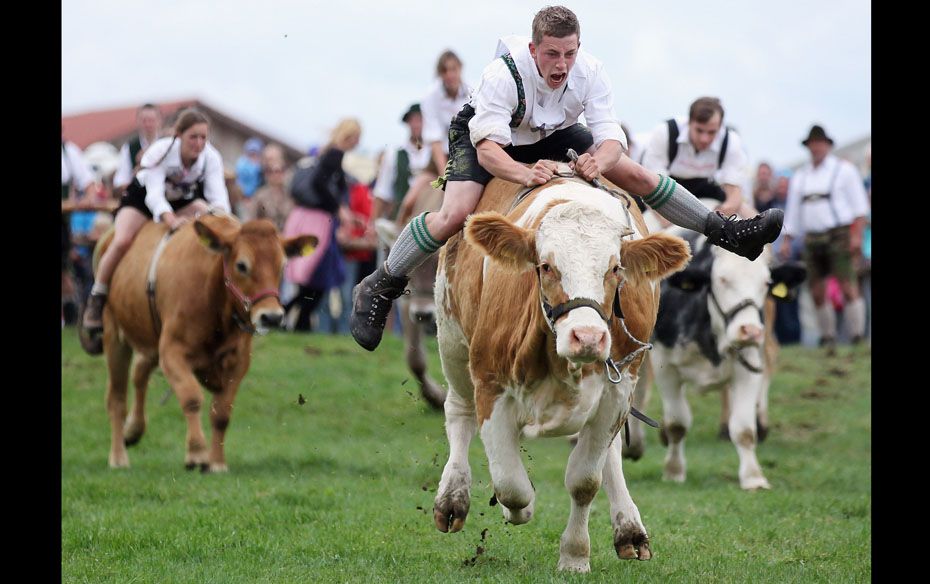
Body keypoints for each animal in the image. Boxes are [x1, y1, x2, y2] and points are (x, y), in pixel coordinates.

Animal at [93, 212, 316, 472]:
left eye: (282, 265)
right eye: (242, 265)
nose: (271, 316)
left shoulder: (238, 363)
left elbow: (221, 413)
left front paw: (217, 462)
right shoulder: (172, 353)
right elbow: (191, 398)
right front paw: (197, 454)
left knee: (139, 373)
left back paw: (133, 430)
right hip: (115, 338)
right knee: (117, 398)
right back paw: (119, 456)